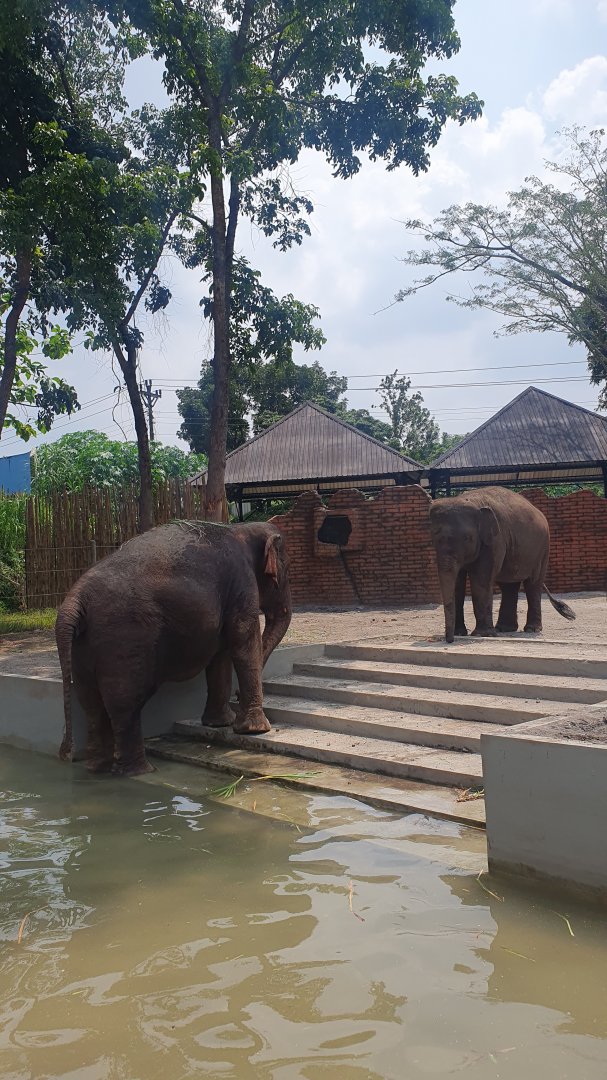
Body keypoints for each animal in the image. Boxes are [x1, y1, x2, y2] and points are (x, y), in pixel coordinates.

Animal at [55, 520, 292, 775]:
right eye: (285, 571)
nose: (237, 695)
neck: (241, 528)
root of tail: (74, 600)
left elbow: (220, 655)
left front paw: (220, 723)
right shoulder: (241, 582)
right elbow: (243, 642)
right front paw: (257, 730)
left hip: (84, 646)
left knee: (91, 702)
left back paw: (97, 768)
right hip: (123, 636)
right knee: (124, 703)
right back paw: (140, 771)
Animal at [428, 487, 575, 643]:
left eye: (467, 538)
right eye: (434, 539)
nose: (449, 640)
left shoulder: (494, 541)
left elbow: (481, 579)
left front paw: (481, 634)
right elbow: (458, 583)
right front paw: (460, 633)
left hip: (543, 548)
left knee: (533, 584)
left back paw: (531, 629)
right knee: (509, 585)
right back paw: (504, 629)